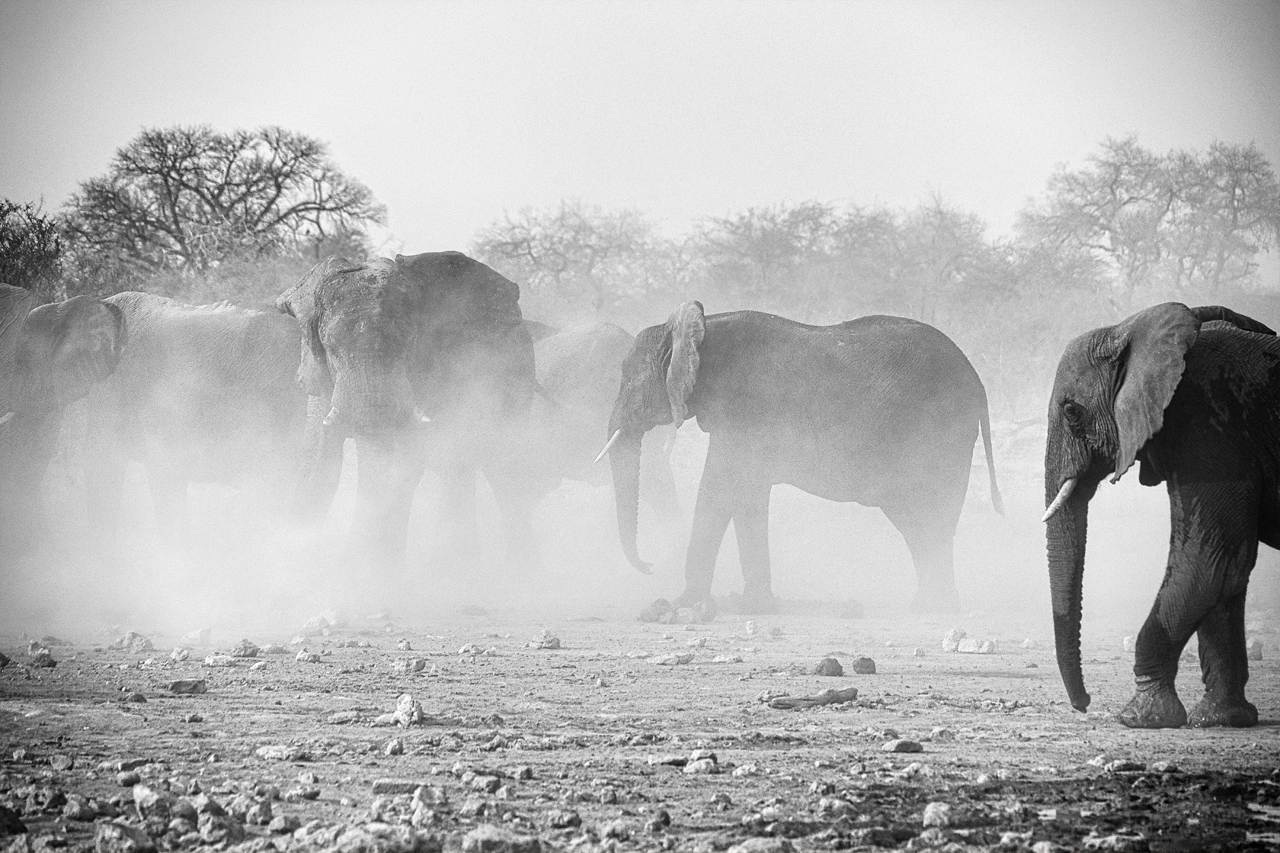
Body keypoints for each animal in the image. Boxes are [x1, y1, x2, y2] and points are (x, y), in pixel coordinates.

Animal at [275, 251, 540, 571]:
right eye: (331, 347)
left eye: (408, 342)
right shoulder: (320, 378)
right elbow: (318, 462)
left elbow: (406, 463)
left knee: (500, 469)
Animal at [599, 300, 998, 612]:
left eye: (627, 380)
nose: (649, 565)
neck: (698, 330)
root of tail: (978, 382)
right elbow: (747, 496)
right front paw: (753, 606)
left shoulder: (744, 411)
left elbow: (718, 489)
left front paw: (679, 605)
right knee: (922, 524)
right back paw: (929, 605)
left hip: (940, 434)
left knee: (929, 516)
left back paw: (933, 607)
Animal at [1039, 302, 1280, 727]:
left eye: (1071, 411)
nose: (1084, 704)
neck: (1128, 328)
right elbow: (1224, 570)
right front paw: (1222, 719)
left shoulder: (1209, 425)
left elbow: (1206, 561)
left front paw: (1140, 716)